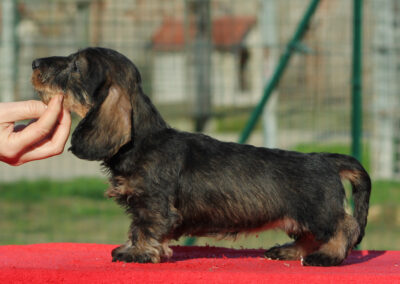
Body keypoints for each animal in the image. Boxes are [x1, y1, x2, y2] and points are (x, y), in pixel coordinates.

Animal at [32, 46, 372, 266]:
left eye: (76, 66)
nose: (34, 63)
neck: (141, 142)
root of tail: (325, 159)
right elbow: (135, 226)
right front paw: (130, 248)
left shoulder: (152, 204)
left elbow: (145, 227)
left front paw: (137, 253)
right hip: (299, 218)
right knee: (308, 236)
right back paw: (289, 251)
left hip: (319, 213)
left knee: (346, 227)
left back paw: (327, 256)